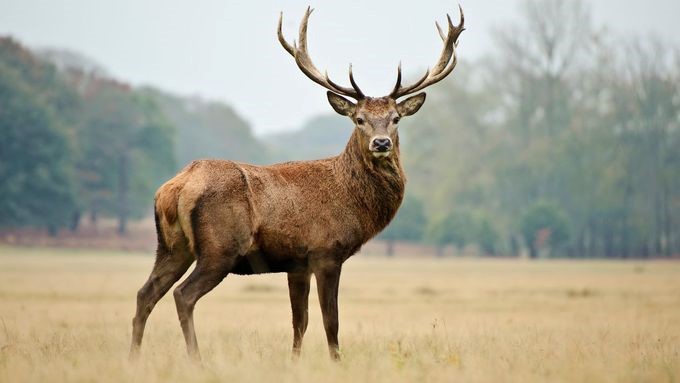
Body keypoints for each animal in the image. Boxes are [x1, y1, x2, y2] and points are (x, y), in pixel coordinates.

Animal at [130, 4, 464, 362]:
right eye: (359, 119)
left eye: (396, 119)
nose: (381, 143)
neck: (352, 201)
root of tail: (176, 187)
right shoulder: (326, 252)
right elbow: (331, 321)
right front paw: (336, 362)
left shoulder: (296, 263)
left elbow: (299, 321)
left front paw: (294, 361)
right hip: (220, 247)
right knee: (183, 295)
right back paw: (196, 360)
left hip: (171, 246)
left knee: (145, 293)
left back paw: (134, 357)